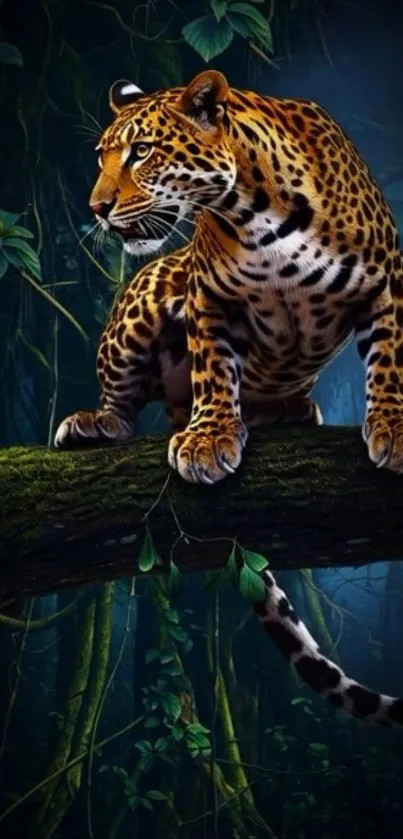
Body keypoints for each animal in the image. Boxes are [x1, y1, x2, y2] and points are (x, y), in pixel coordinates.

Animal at [54, 70, 403, 726]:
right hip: (145, 294)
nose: (96, 209)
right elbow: (214, 369)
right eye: (102, 157)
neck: (255, 214)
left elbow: (389, 362)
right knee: (124, 404)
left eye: (141, 152)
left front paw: (394, 429)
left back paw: (296, 411)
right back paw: (96, 422)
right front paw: (211, 438)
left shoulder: (387, 283)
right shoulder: (207, 296)